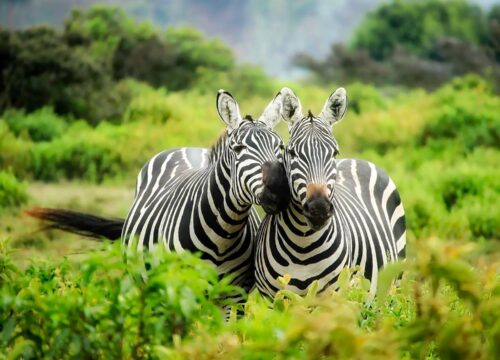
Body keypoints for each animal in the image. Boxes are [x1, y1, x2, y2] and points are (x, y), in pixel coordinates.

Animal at [28, 89, 292, 292]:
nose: (279, 190)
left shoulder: (233, 295)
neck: (223, 234)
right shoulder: (181, 287)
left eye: (280, 147)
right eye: (238, 149)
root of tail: (186, 147)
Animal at [254, 87, 406, 298]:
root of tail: (358, 160)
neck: (302, 246)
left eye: (334, 153)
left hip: (393, 283)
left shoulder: (333, 296)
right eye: (292, 153)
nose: (319, 209)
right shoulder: (271, 298)